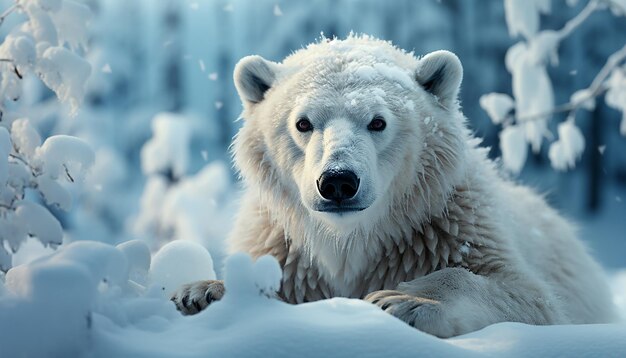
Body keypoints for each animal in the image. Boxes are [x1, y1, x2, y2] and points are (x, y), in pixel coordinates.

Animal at [172, 35, 616, 338]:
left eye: (378, 121)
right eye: (302, 122)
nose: (338, 181)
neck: (349, 241)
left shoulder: (451, 228)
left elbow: (530, 298)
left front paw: (402, 301)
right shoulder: (284, 247)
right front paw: (203, 291)